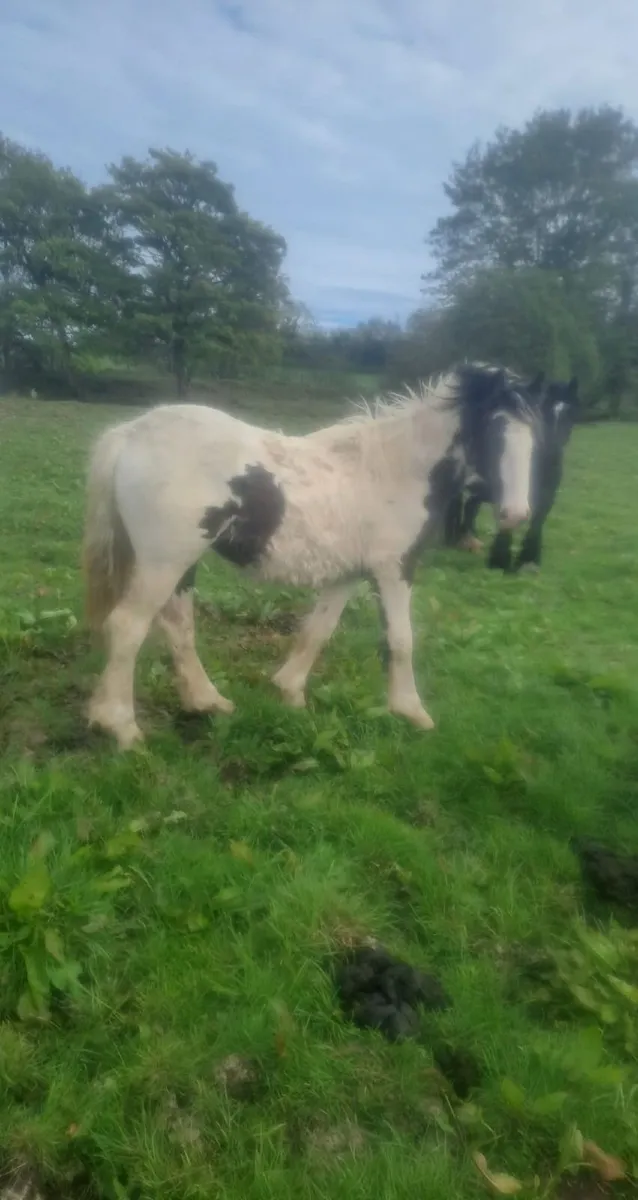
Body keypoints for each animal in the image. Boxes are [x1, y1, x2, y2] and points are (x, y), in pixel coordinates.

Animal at [82, 364, 541, 749]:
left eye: (533, 436)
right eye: (495, 429)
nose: (516, 515)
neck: (398, 470)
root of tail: (131, 433)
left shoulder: (347, 574)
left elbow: (318, 631)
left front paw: (288, 691)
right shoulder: (394, 569)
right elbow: (401, 639)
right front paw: (411, 711)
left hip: (180, 563)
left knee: (177, 626)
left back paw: (206, 703)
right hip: (164, 562)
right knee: (127, 627)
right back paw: (121, 728)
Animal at [443, 376, 580, 571]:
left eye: (570, 412)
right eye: (544, 412)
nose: (552, 451)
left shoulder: (547, 495)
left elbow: (537, 521)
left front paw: (529, 560)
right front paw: (500, 560)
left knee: (470, 505)